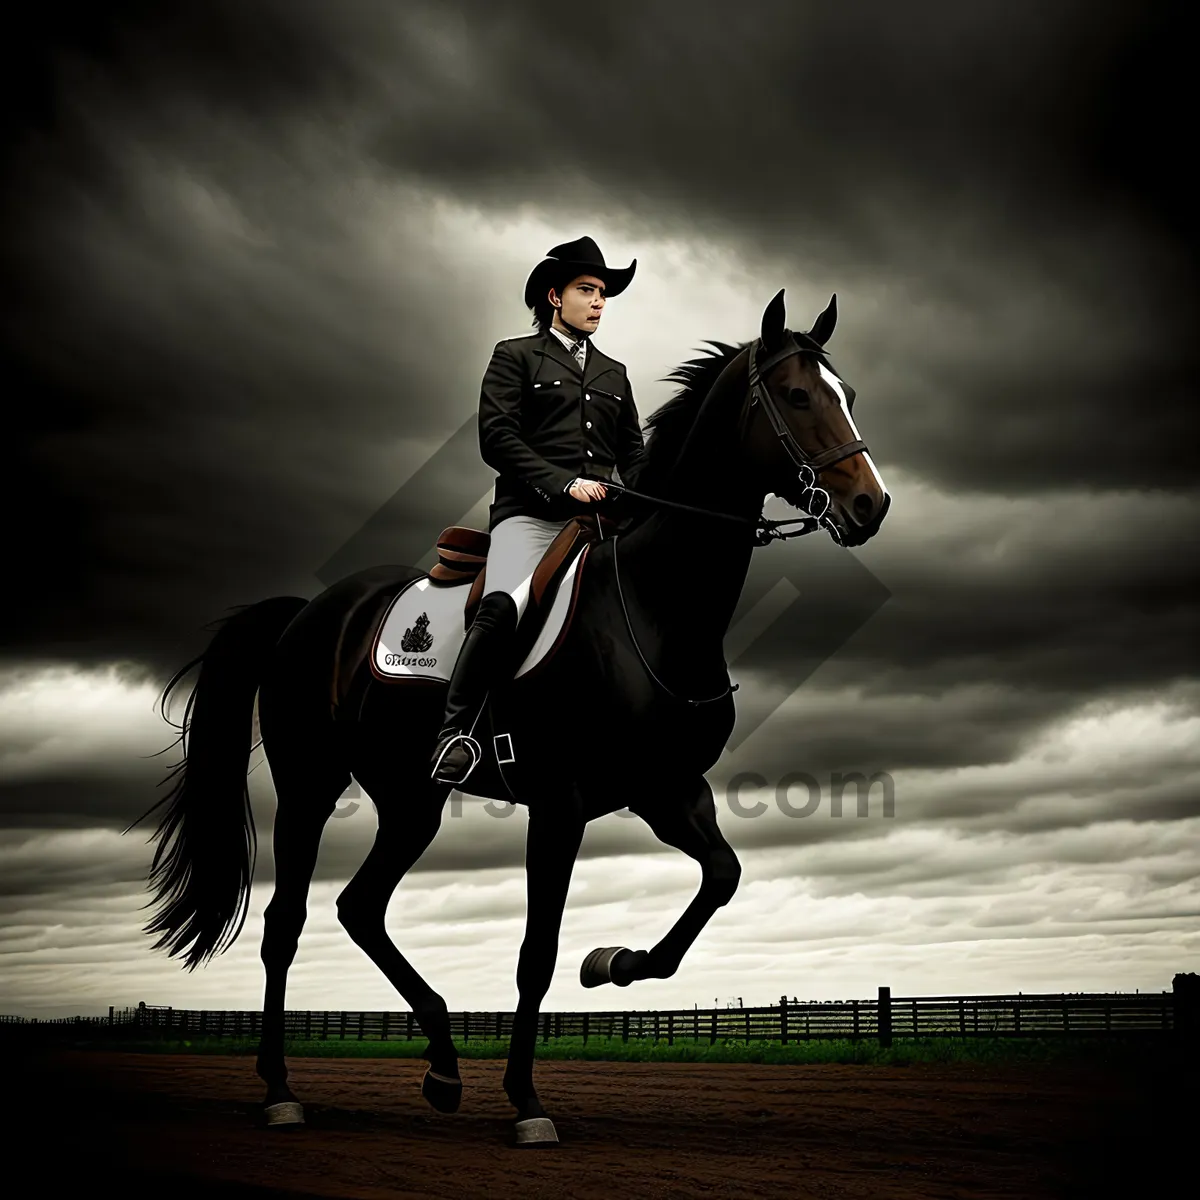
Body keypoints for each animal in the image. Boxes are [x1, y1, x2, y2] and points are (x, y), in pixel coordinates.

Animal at [129, 288, 892, 1142]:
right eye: (796, 396)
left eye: (846, 394)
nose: (870, 504)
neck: (652, 609)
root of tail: (309, 613)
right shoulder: (560, 805)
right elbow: (536, 953)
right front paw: (528, 1103)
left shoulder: (668, 792)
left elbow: (718, 881)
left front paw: (613, 964)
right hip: (310, 787)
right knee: (284, 925)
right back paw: (281, 1091)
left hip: (411, 800)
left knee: (360, 908)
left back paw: (443, 1066)